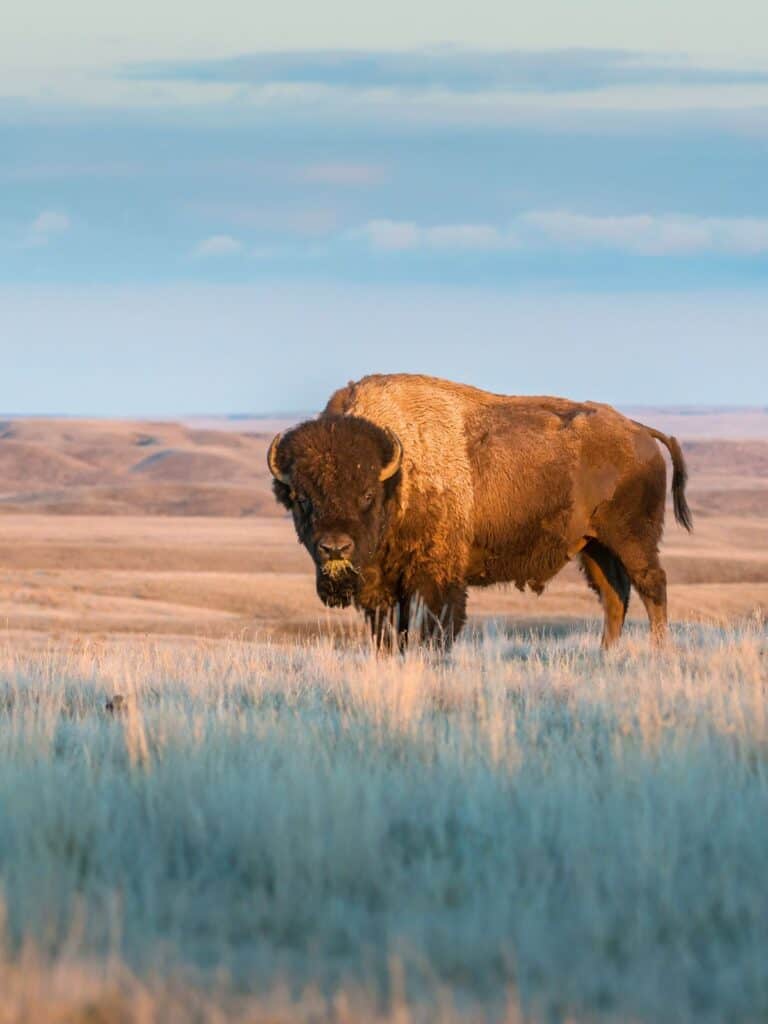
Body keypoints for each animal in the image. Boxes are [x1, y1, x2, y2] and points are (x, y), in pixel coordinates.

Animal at [267, 374, 692, 649]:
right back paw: (606, 655)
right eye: (302, 498)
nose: (335, 548)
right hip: (593, 546)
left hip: (632, 539)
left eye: (367, 495)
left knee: (652, 586)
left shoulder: (434, 579)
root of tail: (641, 431)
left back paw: (658, 652)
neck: (399, 475)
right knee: (614, 595)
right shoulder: (381, 587)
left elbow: (432, 629)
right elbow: (389, 635)